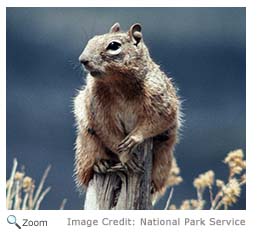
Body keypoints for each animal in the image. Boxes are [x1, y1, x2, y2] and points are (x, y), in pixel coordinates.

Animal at [73, 22, 179, 195]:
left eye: (114, 46)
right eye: (91, 40)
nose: (82, 59)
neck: (118, 83)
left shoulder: (159, 95)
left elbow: (159, 119)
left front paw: (134, 138)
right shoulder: (97, 104)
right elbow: (106, 130)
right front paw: (126, 157)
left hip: (164, 156)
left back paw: (151, 185)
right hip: (86, 143)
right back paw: (100, 164)